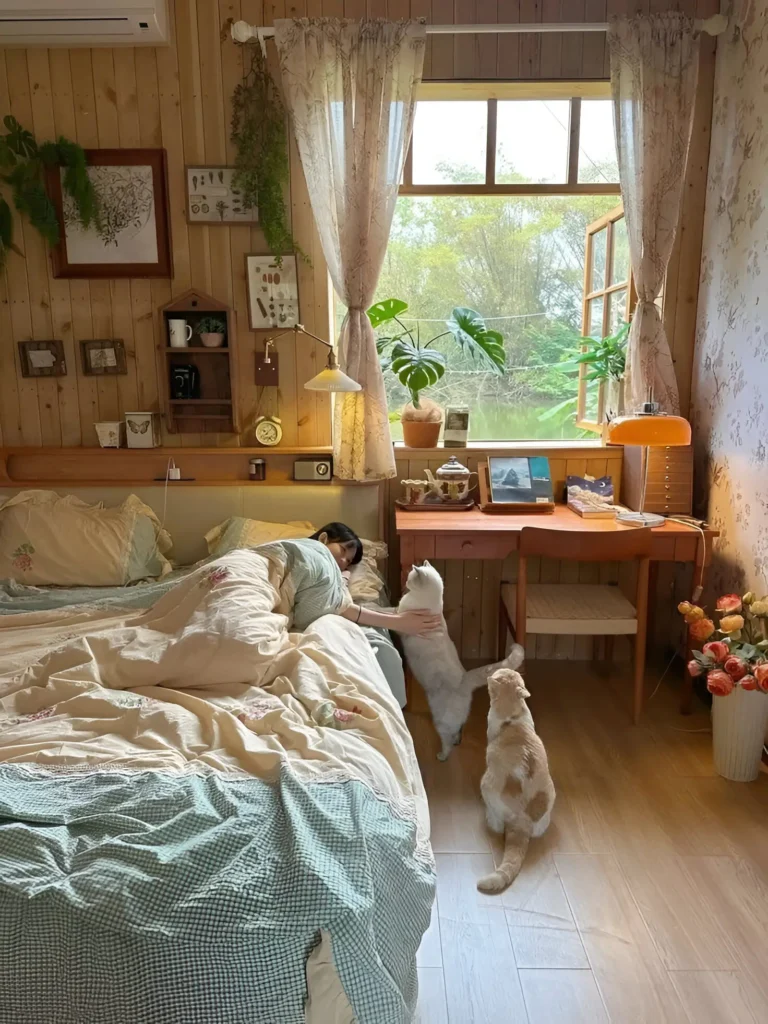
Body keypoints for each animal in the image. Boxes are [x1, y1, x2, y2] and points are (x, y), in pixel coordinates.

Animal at [399, 561, 528, 761]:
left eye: (411, 578)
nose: (405, 582)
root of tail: (464, 680)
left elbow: (390, 611)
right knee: (459, 729)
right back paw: (457, 742)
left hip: (442, 721)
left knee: (447, 739)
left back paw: (442, 756)